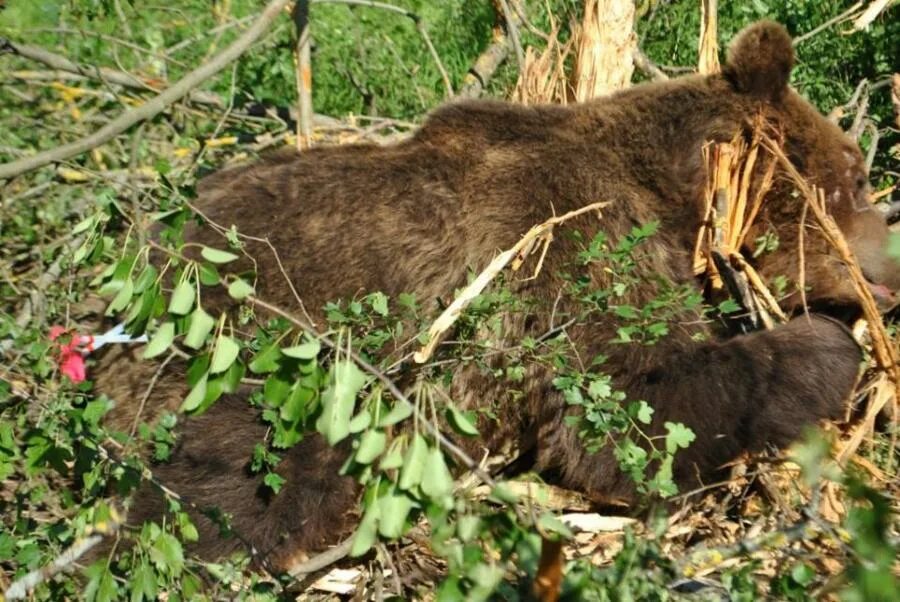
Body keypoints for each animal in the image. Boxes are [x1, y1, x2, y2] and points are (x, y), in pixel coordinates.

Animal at [91, 21, 900, 568]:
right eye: (854, 178)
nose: (888, 275)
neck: (675, 193)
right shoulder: (562, 243)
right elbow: (631, 412)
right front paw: (826, 346)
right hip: (250, 352)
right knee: (238, 487)